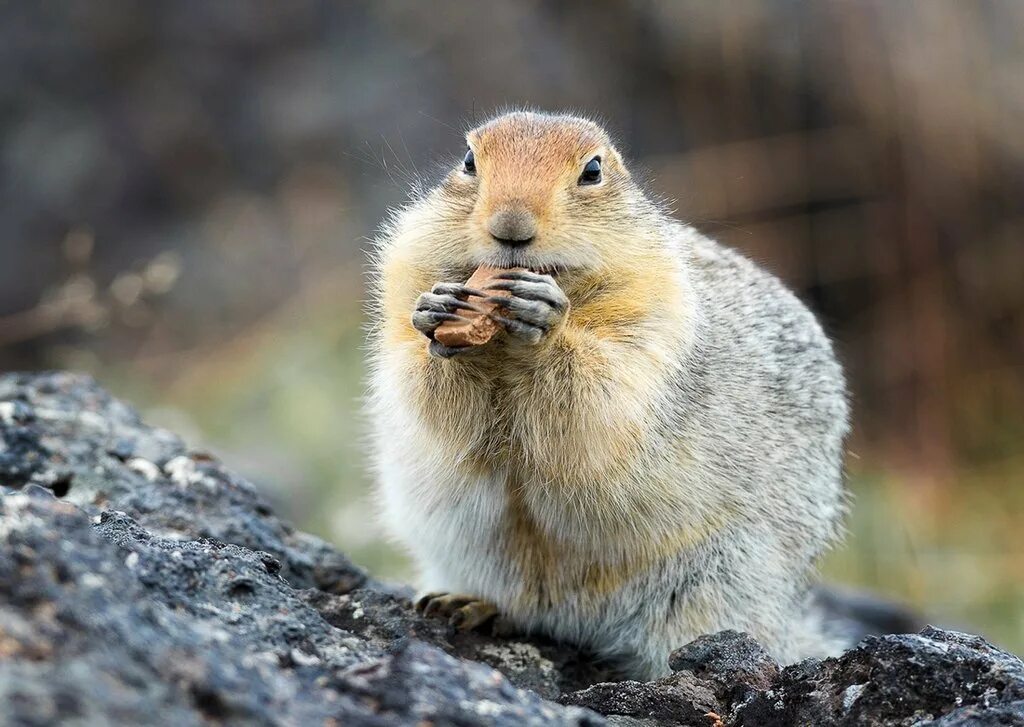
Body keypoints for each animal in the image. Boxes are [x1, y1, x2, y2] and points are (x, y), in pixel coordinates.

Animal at [366, 111, 847, 679]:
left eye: (592, 170)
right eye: (468, 161)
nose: (510, 226)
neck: (504, 346)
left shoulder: (654, 317)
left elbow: (601, 392)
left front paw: (546, 325)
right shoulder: (404, 278)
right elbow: (423, 385)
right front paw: (436, 313)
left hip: (724, 578)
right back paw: (466, 604)